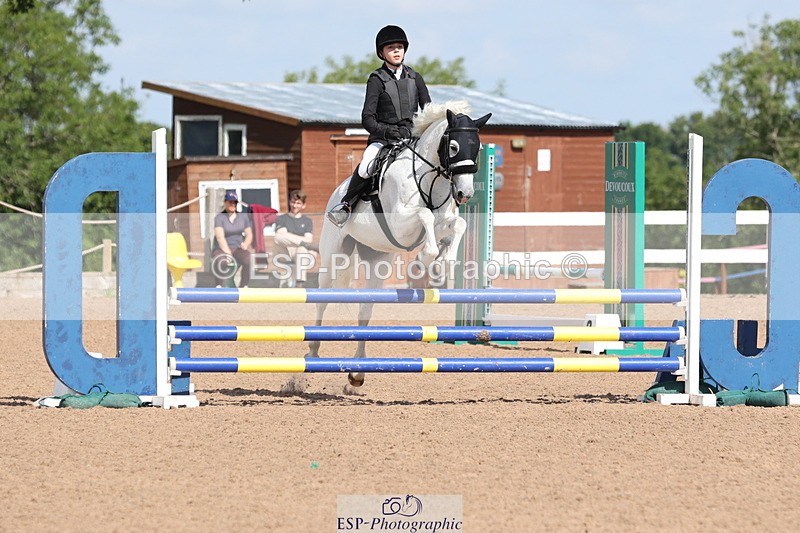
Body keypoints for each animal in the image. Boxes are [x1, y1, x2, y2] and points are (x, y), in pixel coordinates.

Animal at [307, 100, 491, 389]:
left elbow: (456, 225)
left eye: (479, 148)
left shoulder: (442, 222)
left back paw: (357, 373)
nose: (465, 194)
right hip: (333, 256)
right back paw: (313, 353)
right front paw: (424, 260)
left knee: (365, 311)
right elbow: (425, 216)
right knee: (322, 300)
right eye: (453, 147)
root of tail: (337, 193)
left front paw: (442, 263)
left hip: (378, 260)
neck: (430, 178)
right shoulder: (401, 225)